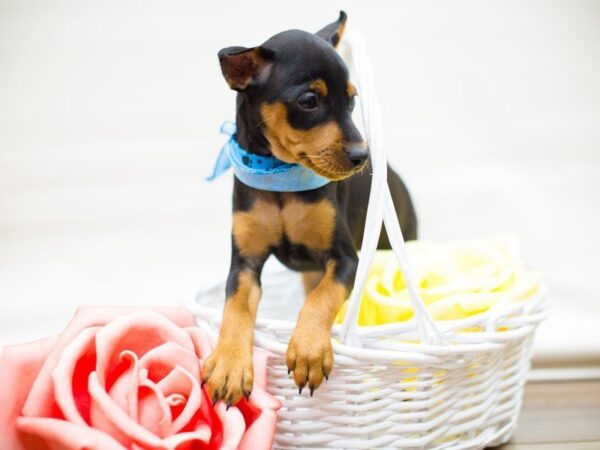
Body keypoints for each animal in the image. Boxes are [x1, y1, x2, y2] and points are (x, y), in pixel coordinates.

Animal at [204, 11, 414, 404]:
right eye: (308, 101)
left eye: (353, 101)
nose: (362, 157)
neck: (279, 177)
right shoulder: (244, 264)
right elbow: (234, 307)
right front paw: (229, 364)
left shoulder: (345, 258)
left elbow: (323, 298)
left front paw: (308, 351)